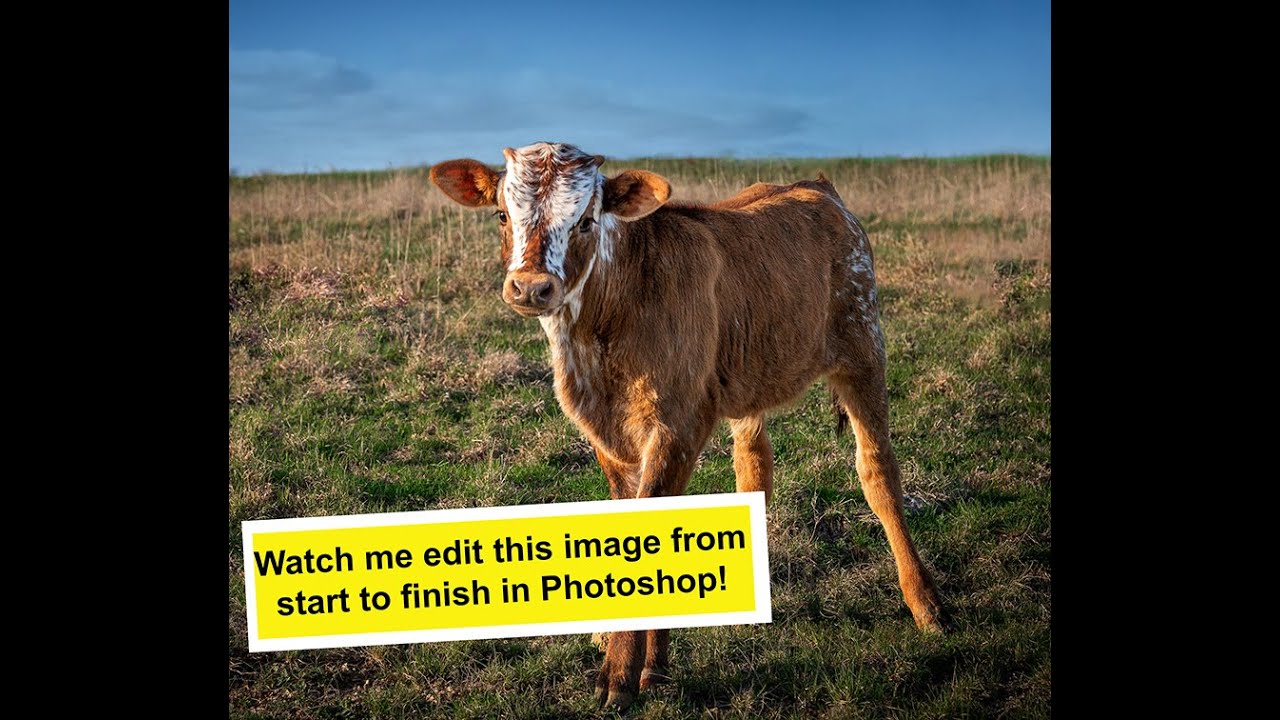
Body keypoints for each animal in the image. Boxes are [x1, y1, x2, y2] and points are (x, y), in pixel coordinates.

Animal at [430, 142, 943, 710]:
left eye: (586, 220)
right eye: (502, 215)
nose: (531, 287)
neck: (600, 332)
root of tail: (816, 185)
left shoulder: (678, 423)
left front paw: (622, 672)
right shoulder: (608, 437)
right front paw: (649, 660)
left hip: (863, 345)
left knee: (878, 473)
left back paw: (926, 604)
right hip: (745, 374)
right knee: (753, 469)